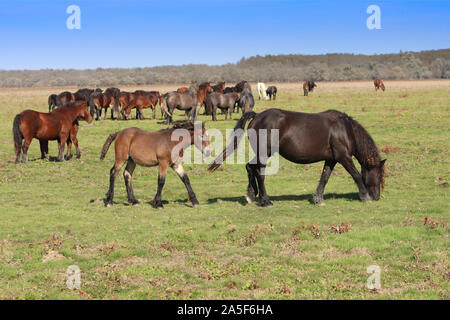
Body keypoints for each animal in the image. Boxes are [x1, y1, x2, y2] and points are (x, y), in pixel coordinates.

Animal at [209, 109, 384, 206]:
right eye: (379, 175)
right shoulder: (344, 157)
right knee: (259, 172)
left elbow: (324, 177)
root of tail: (257, 116)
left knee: (249, 167)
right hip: (264, 153)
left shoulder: (332, 159)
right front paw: (365, 196)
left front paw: (318, 198)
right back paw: (265, 201)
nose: (377, 197)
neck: (345, 129)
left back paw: (252, 194)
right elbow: (356, 175)